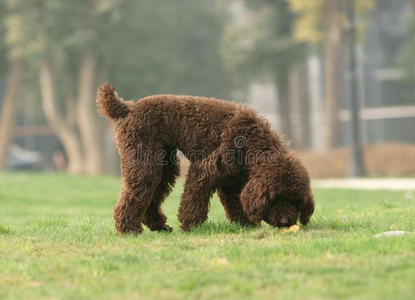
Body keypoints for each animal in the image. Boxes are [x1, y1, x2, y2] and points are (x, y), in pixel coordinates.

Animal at [96, 82, 314, 234]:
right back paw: (129, 229)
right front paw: (190, 225)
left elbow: (235, 203)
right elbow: (194, 199)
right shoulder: (205, 169)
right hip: (144, 163)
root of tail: (128, 108)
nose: (285, 222)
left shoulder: (231, 181)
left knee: (152, 195)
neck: (254, 142)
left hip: (164, 166)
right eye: (275, 198)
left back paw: (159, 226)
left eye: (296, 201)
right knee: (135, 194)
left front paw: (245, 224)